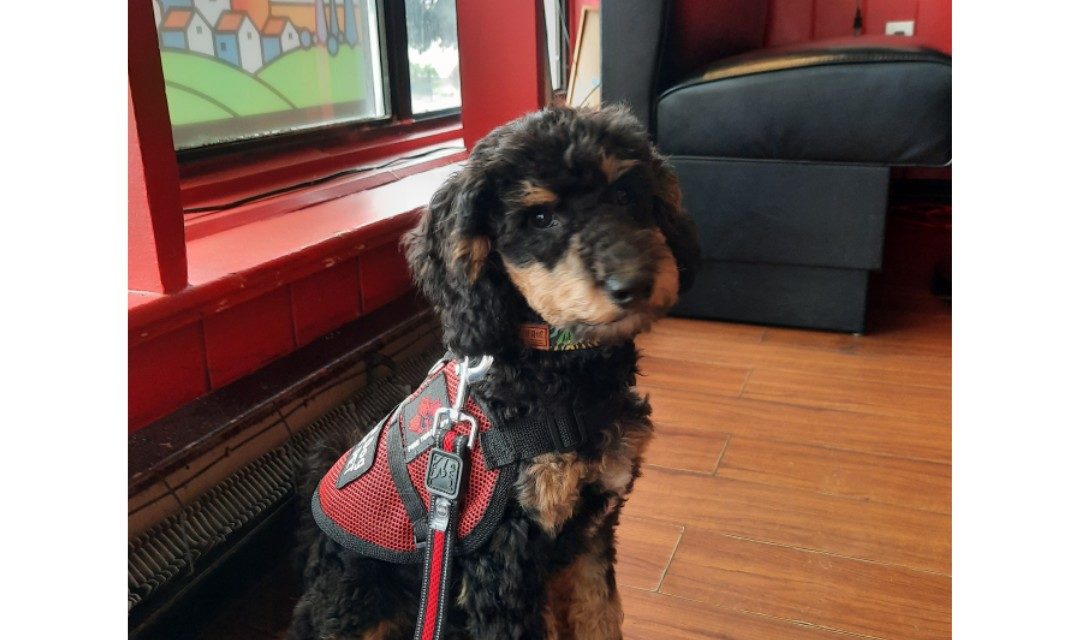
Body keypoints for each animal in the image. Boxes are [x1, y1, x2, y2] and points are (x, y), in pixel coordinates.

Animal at [289, 106, 699, 638]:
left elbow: (600, 615)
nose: (634, 283)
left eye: (627, 195)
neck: (555, 372)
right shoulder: (504, 569)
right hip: (362, 597)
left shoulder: (590, 533)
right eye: (540, 217)